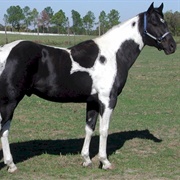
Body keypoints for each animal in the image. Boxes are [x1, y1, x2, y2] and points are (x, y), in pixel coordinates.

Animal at [0, 2, 176, 172]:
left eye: (165, 22)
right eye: (155, 22)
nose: (172, 46)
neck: (112, 54)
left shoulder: (92, 101)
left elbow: (89, 128)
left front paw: (86, 160)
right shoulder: (108, 100)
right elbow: (104, 130)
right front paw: (105, 162)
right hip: (9, 102)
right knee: (3, 130)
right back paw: (11, 165)